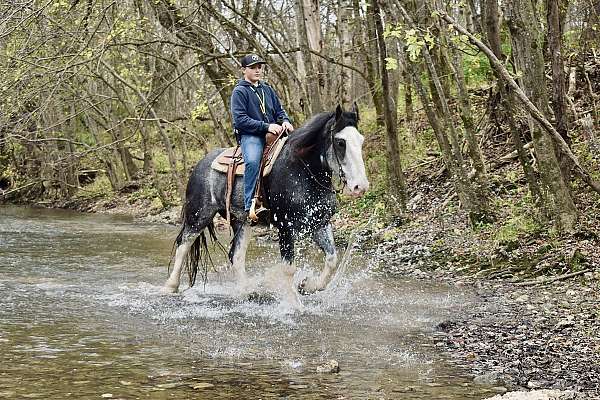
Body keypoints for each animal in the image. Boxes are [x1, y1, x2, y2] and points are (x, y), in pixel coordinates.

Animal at [163, 103, 370, 306]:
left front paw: (307, 286)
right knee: (183, 244)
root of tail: (200, 164)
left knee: (236, 256)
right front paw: (293, 304)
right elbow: (288, 268)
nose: (360, 186)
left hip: (242, 222)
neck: (302, 170)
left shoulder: (319, 223)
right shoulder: (285, 227)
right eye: (340, 142)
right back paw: (170, 287)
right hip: (199, 215)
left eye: (361, 140)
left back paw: (248, 292)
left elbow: (332, 259)